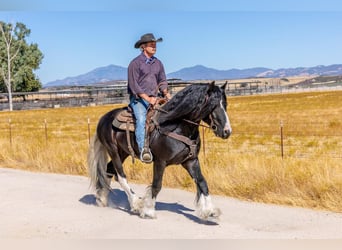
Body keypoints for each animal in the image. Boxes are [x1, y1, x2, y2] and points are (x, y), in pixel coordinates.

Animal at [88, 80, 232, 221]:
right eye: (212, 105)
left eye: (225, 104)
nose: (227, 131)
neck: (176, 126)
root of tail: (104, 119)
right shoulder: (160, 161)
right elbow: (157, 185)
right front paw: (148, 211)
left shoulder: (191, 161)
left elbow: (202, 182)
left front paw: (210, 210)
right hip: (113, 151)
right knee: (121, 176)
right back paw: (136, 203)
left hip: (123, 152)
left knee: (109, 170)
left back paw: (102, 198)